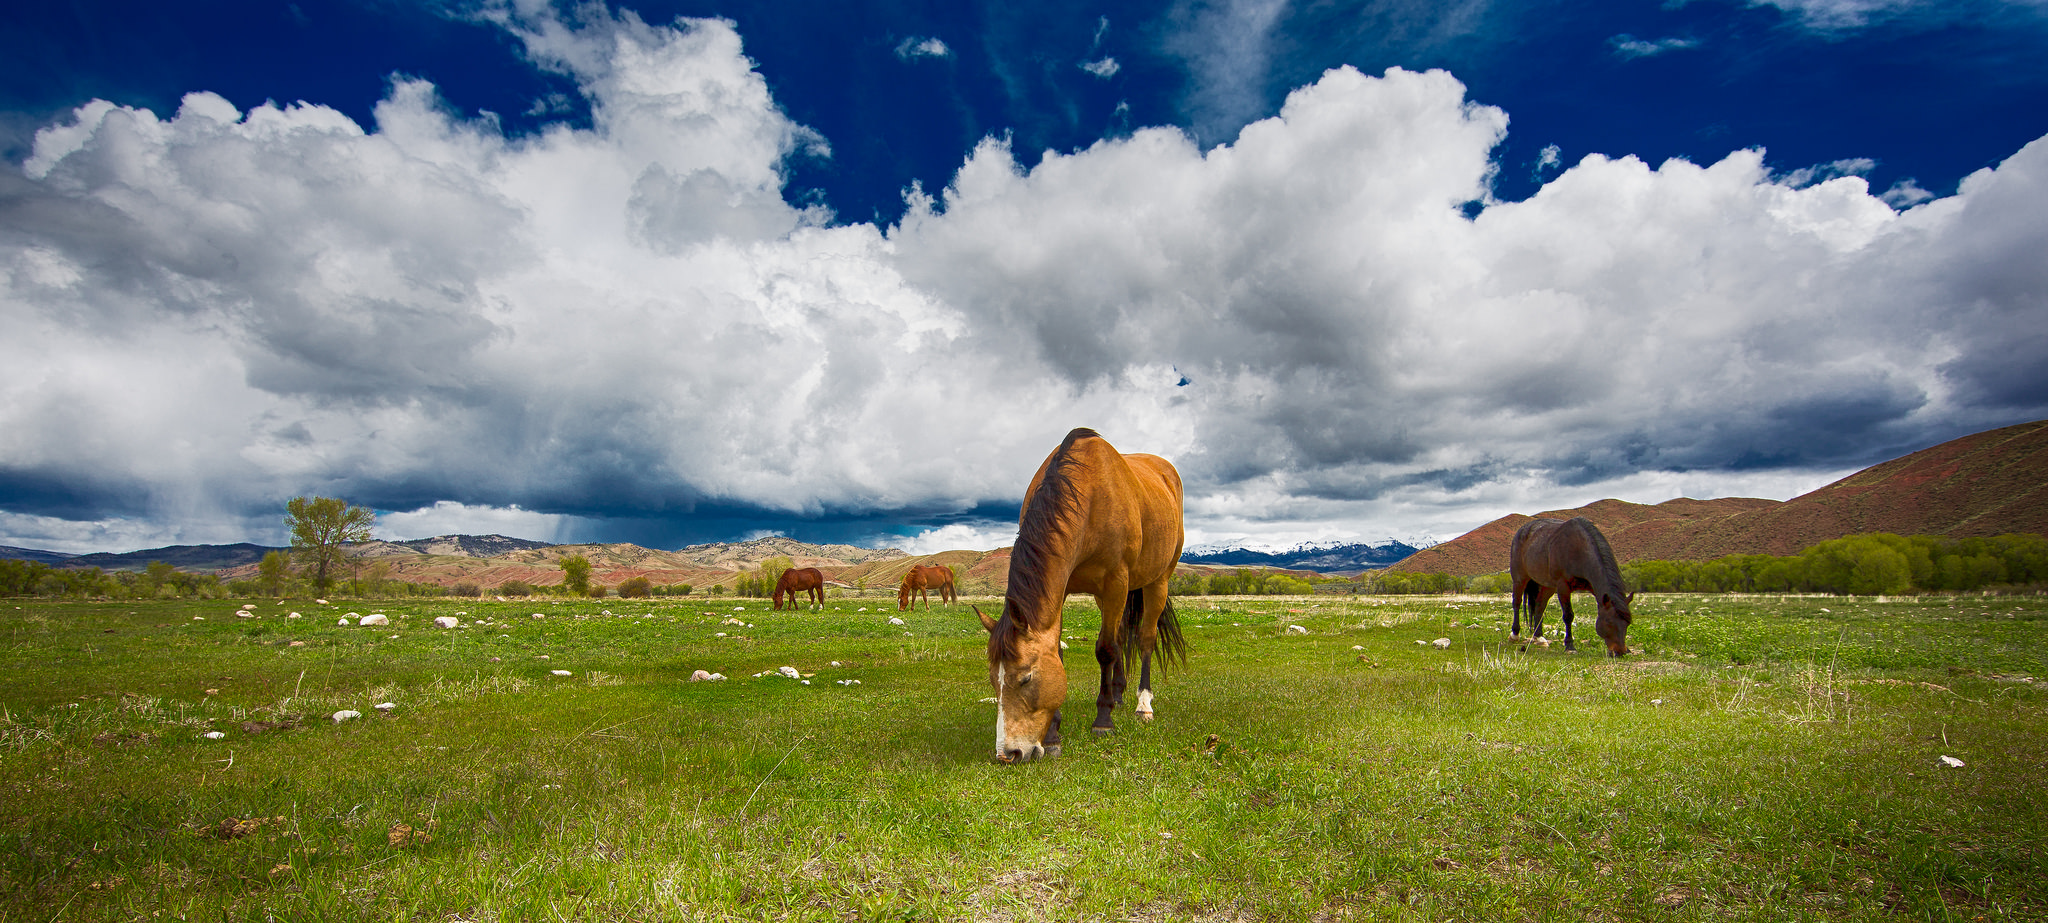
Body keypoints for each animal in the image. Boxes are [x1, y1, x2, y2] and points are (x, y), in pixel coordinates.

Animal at [974, 431, 1187, 765]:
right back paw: (1118, 693)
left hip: (1157, 582)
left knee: (1144, 639)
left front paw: (1103, 721)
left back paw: (1142, 704)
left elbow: (1105, 650)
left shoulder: (1116, 582)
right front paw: (1053, 736)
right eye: (994, 681)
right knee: (1122, 634)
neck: (1090, 497)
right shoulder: (1063, 591)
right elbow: (1068, 654)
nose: (1008, 754)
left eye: (1026, 679)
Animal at [1515, 515, 1638, 663]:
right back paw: (1514, 635)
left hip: (1548, 586)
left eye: (1627, 623)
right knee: (1516, 603)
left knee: (1539, 606)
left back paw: (1539, 637)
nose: (1620, 652)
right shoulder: (1563, 586)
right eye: (1608, 621)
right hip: (1520, 578)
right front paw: (1570, 646)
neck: (1578, 549)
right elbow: (1568, 616)